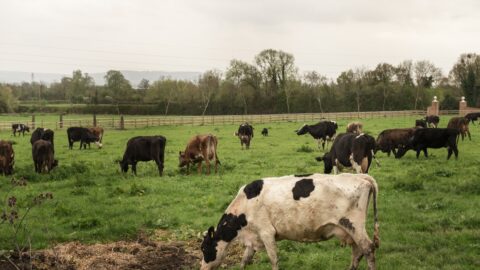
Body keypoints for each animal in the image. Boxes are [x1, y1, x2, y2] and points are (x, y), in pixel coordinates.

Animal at [199, 173, 378, 270]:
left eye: (204, 248)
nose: (202, 267)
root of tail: (359, 176)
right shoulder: (253, 238)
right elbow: (245, 260)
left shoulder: (266, 232)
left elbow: (273, 258)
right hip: (350, 230)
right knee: (357, 251)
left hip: (354, 225)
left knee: (368, 249)